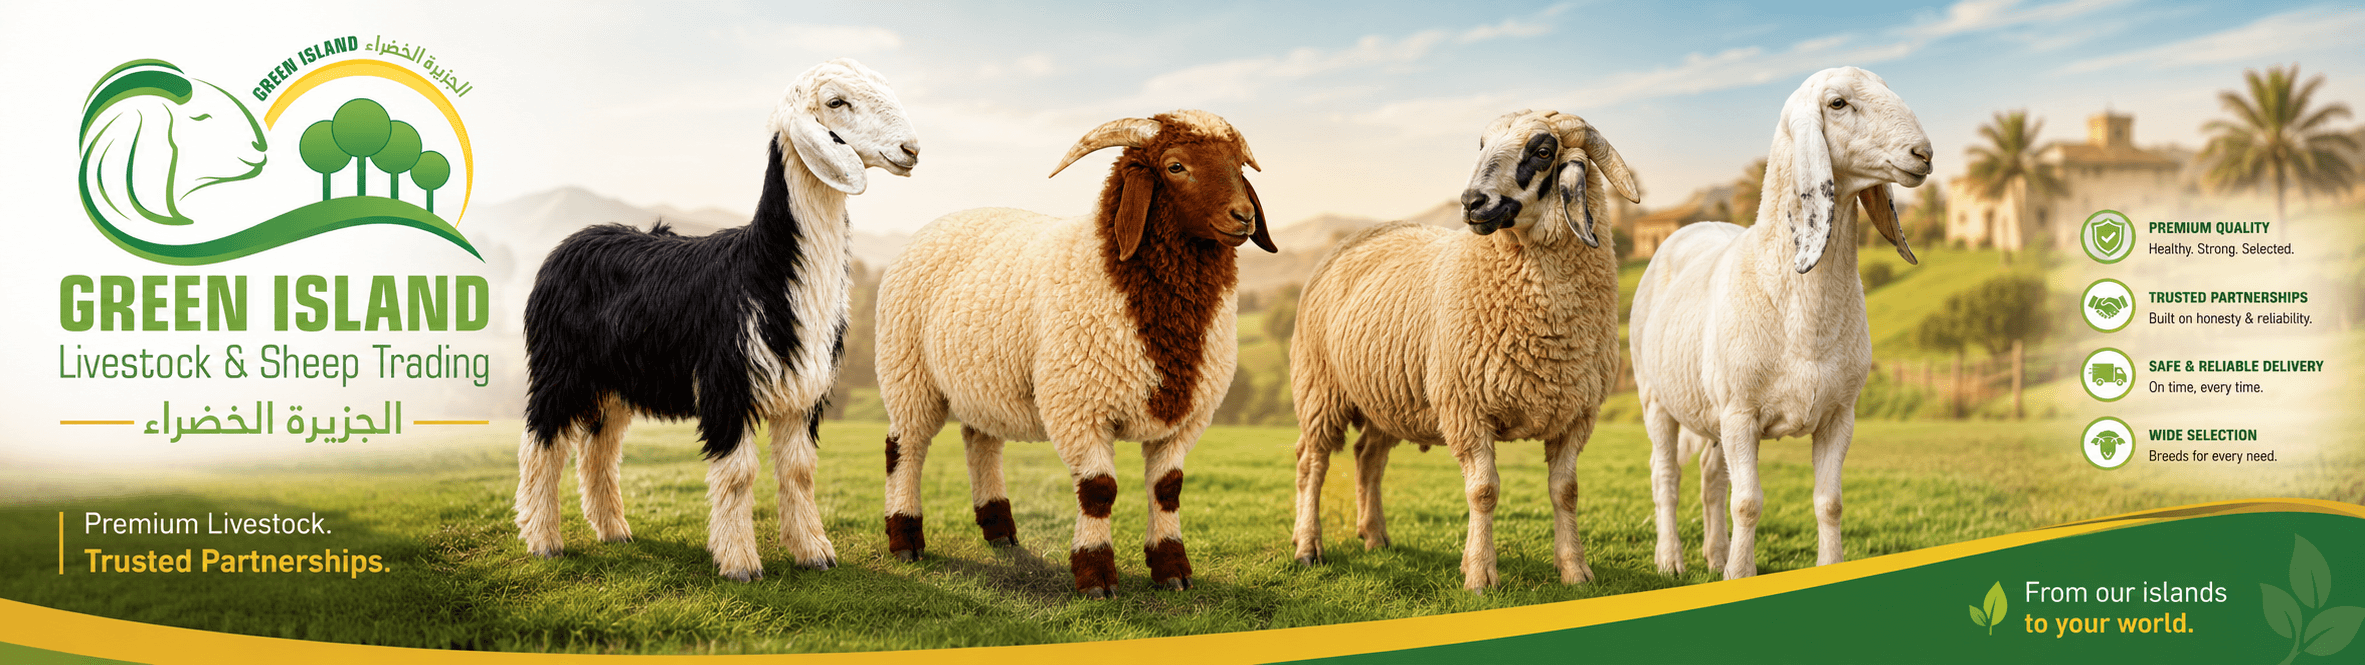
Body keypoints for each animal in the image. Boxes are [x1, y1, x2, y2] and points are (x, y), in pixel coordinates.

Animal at [515, 58, 920, 582]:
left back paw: (614, 531)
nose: (911, 149)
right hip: (559, 365)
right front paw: (739, 563)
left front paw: (813, 553)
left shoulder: (803, 390)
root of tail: (573, 240)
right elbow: (737, 474)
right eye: (836, 102)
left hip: (615, 379)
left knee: (599, 449)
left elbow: (799, 471)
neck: (760, 269)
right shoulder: (726, 380)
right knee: (542, 442)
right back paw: (543, 540)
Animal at [874, 110, 1275, 597]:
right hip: (907, 370)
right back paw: (905, 539)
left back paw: (1000, 531)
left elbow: (1168, 488)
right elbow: (1098, 490)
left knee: (981, 442)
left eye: (1238, 165)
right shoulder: (1079, 405)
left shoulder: (1187, 416)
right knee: (904, 447)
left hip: (980, 379)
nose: (1244, 216)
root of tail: (939, 222)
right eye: (1175, 166)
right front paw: (1096, 576)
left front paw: (1172, 569)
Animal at [1287, 109, 1641, 592]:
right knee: (1312, 461)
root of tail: (1354, 238)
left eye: (1543, 151)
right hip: (1319, 386)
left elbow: (1565, 491)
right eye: (1482, 145)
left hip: (1388, 395)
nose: (1472, 202)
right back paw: (1308, 547)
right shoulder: (1465, 406)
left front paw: (1575, 571)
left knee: (1368, 457)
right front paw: (1479, 574)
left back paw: (1375, 537)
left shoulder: (1576, 414)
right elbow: (1484, 490)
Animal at [1628, 66, 1931, 580]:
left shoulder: (1839, 414)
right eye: (1837, 103)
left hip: (1713, 413)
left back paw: (1714, 554)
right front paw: (1740, 574)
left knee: (1711, 478)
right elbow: (1748, 502)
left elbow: (1829, 503)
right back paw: (1671, 560)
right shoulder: (1740, 412)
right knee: (1665, 476)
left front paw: (1824, 566)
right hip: (1656, 398)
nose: (1924, 153)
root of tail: (1691, 226)